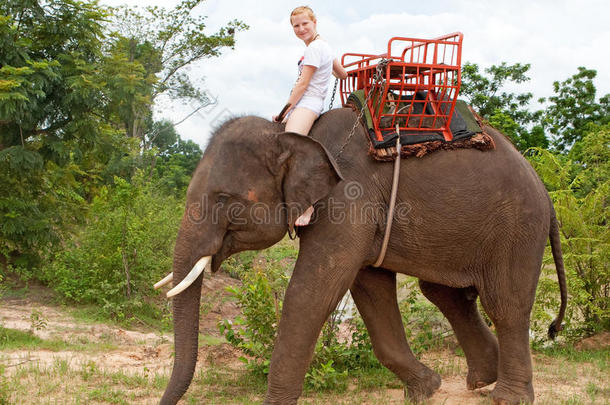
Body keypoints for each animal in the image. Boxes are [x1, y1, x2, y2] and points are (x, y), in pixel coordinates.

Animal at [154, 108, 564, 404]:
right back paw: (482, 379)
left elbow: (312, 292)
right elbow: (370, 289)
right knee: (446, 294)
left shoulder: (350, 196)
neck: (290, 132)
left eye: (224, 199)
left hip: (517, 229)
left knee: (505, 304)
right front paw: (426, 389)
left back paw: (506, 397)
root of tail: (545, 190)